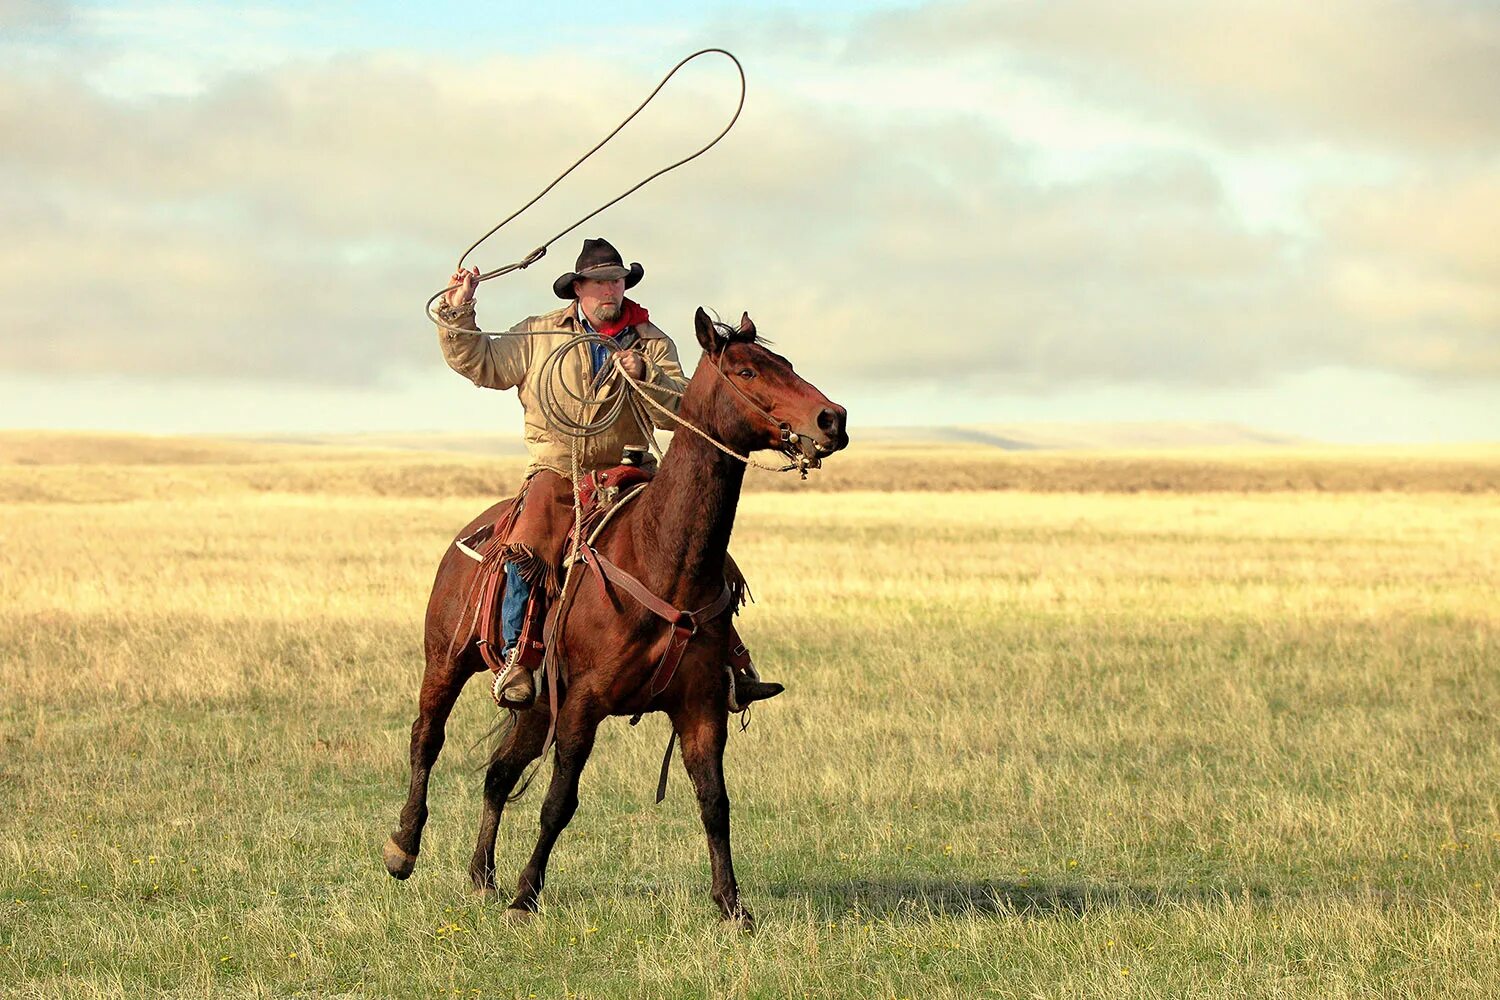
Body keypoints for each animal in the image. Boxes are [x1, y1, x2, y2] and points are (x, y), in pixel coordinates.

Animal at [384, 308, 846, 929]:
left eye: (787, 364)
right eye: (747, 371)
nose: (833, 418)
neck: (661, 555)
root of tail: (473, 533)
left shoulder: (700, 707)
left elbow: (715, 802)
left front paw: (732, 905)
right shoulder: (584, 702)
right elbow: (559, 802)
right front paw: (526, 897)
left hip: (538, 701)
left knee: (499, 772)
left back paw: (482, 877)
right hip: (447, 662)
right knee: (426, 738)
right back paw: (404, 847)